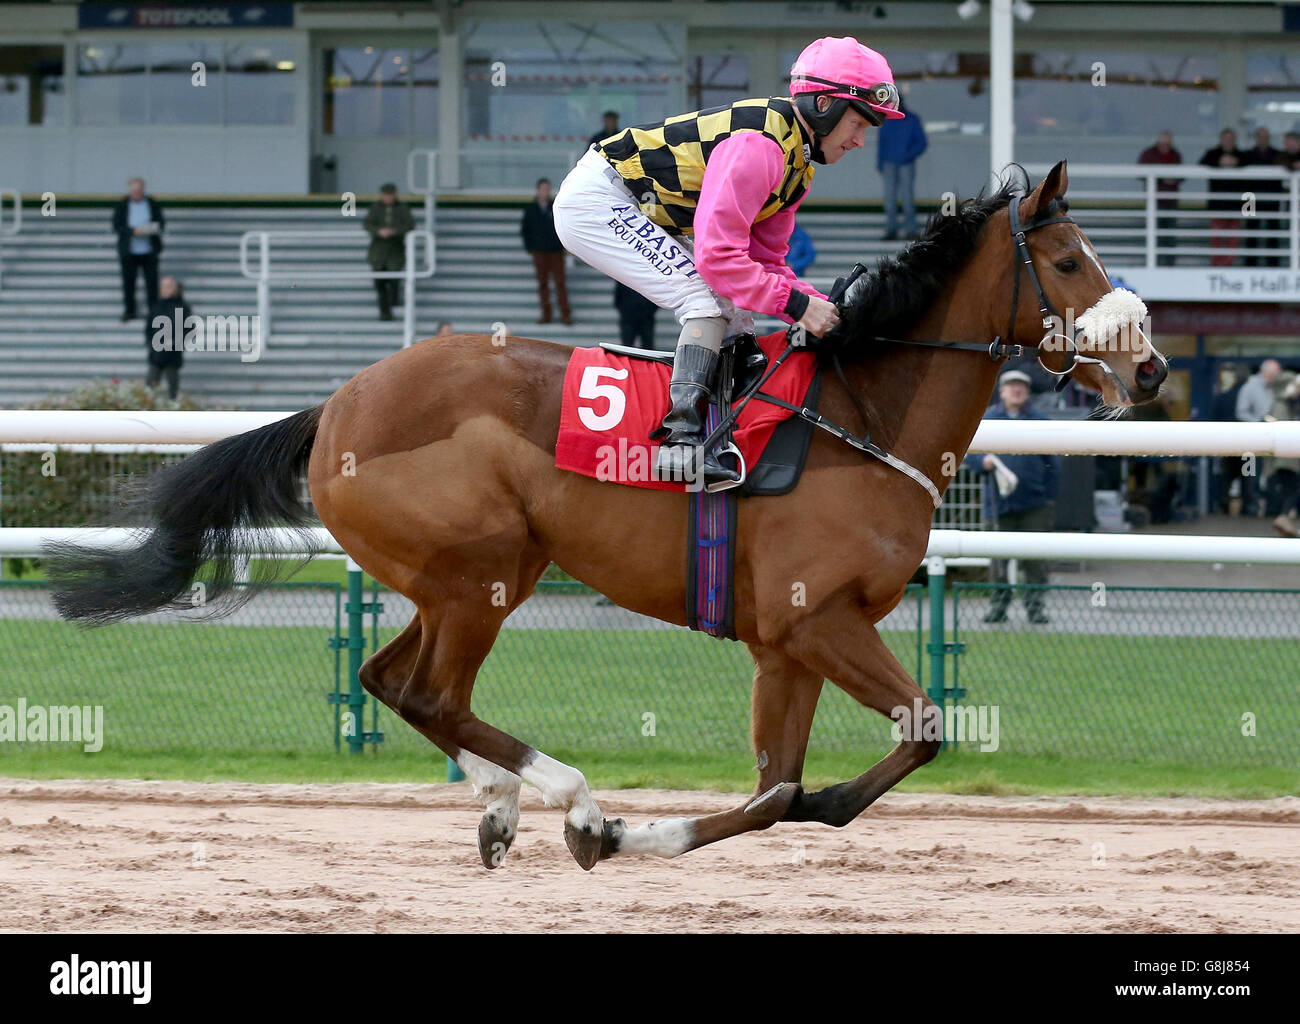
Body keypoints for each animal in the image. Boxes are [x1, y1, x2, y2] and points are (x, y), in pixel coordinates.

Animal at [50, 161, 1170, 873]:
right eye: (1068, 262)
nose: (1152, 368)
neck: (862, 414)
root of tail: (337, 405)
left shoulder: (787, 641)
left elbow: (778, 789)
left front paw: (682, 829)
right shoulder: (817, 618)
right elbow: (918, 731)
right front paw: (628, 830)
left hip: (454, 579)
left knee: (390, 681)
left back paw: (508, 807)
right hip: (485, 566)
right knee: (431, 692)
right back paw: (571, 799)